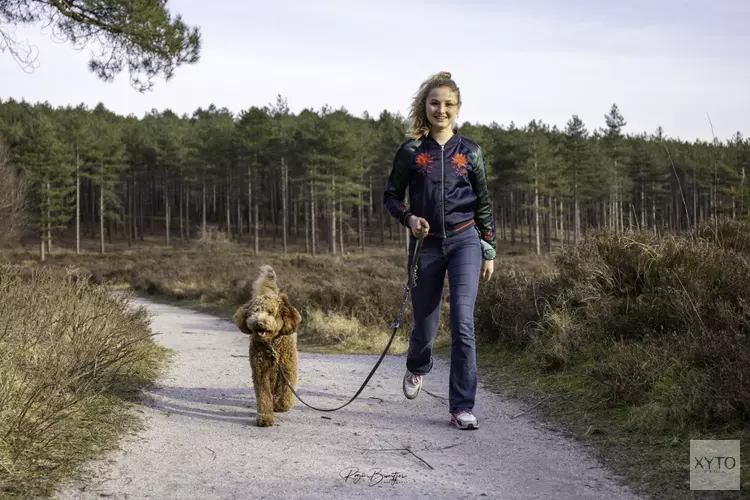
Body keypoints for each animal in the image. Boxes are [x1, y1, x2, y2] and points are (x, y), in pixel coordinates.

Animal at [234, 266, 302, 426]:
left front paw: (282, 405)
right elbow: (263, 395)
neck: (272, 345)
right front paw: (264, 417)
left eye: (271, 313)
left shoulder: (288, 369)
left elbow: (286, 391)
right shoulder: (260, 370)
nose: (259, 323)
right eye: (255, 311)